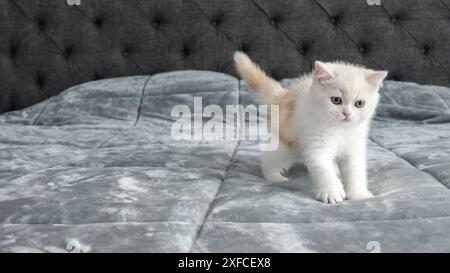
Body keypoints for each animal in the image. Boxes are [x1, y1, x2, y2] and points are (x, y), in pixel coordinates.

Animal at [236, 51, 386, 204]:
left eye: (359, 103)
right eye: (336, 100)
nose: (347, 114)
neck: (340, 129)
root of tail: (283, 96)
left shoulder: (354, 146)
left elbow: (355, 170)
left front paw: (358, 193)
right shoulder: (316, 144)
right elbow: (323, 169)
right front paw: (332, 192)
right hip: (286, 143)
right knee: (270, 158)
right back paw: (274, 177)